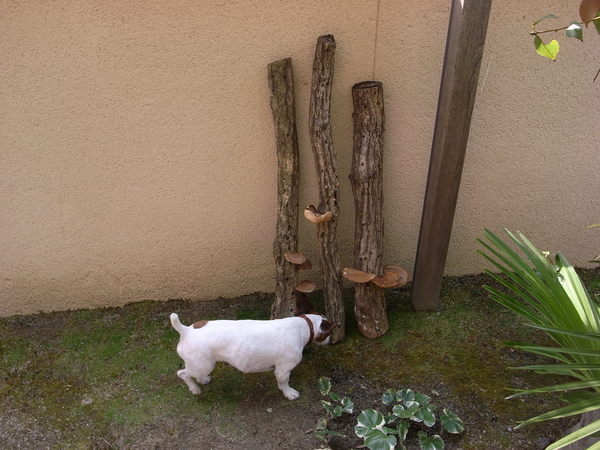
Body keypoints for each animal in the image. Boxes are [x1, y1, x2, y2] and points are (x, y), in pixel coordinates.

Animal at [170, 293, 336, 400]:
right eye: (328, 334)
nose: (330, 341)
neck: (305, 326)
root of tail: (187, 330)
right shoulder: (282, 370)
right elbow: (284, 383)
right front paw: (289, 393)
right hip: (203, 365)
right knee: (182, 373)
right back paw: (195, 389)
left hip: (201, 365)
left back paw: (202, 380)